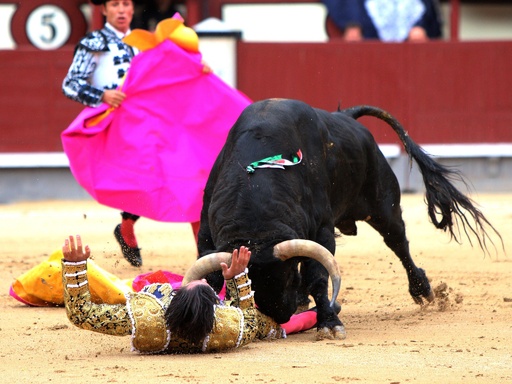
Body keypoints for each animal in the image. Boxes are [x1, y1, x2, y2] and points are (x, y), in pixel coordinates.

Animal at [194, 98, 498, 336]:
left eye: (287, 276)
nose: (280, 315)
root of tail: (346, 117)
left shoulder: (322, 232)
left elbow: (318, 276)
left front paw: (329, 323)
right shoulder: (206, 234)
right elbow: (212, 279)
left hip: (383, 206)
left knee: (398, 242)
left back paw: (422, 289)